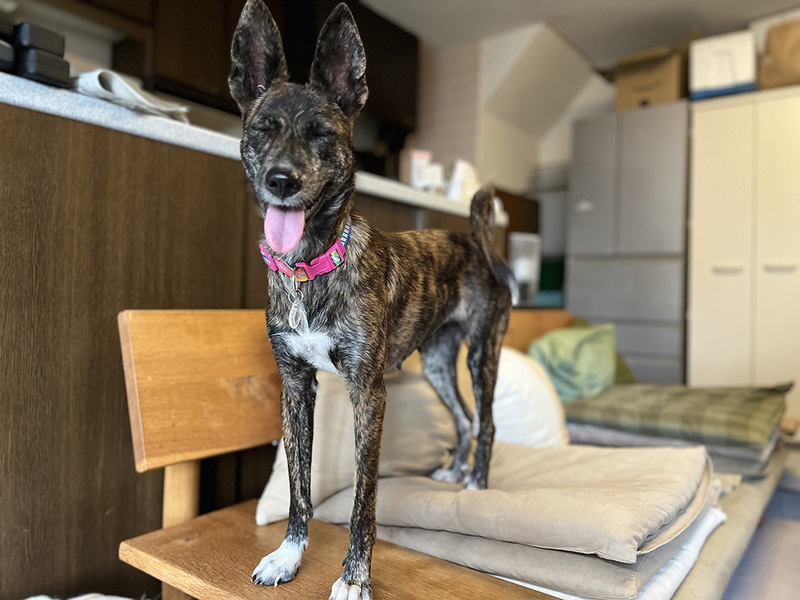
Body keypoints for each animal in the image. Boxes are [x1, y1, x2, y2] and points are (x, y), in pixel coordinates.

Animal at [229, 1, 514, 598]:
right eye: (262, 129)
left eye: (320, 134)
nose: (282, 180)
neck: (310, 266)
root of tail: (475, 241)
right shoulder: (296, 385)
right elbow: (298, 485)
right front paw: (289, 555)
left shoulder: (369, 393)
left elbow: (365, 499)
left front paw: (354, 578)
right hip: (437, 362)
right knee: (464, 419)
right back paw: (454, 471)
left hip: (483, 353)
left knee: (487, 422)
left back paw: (476, 485)